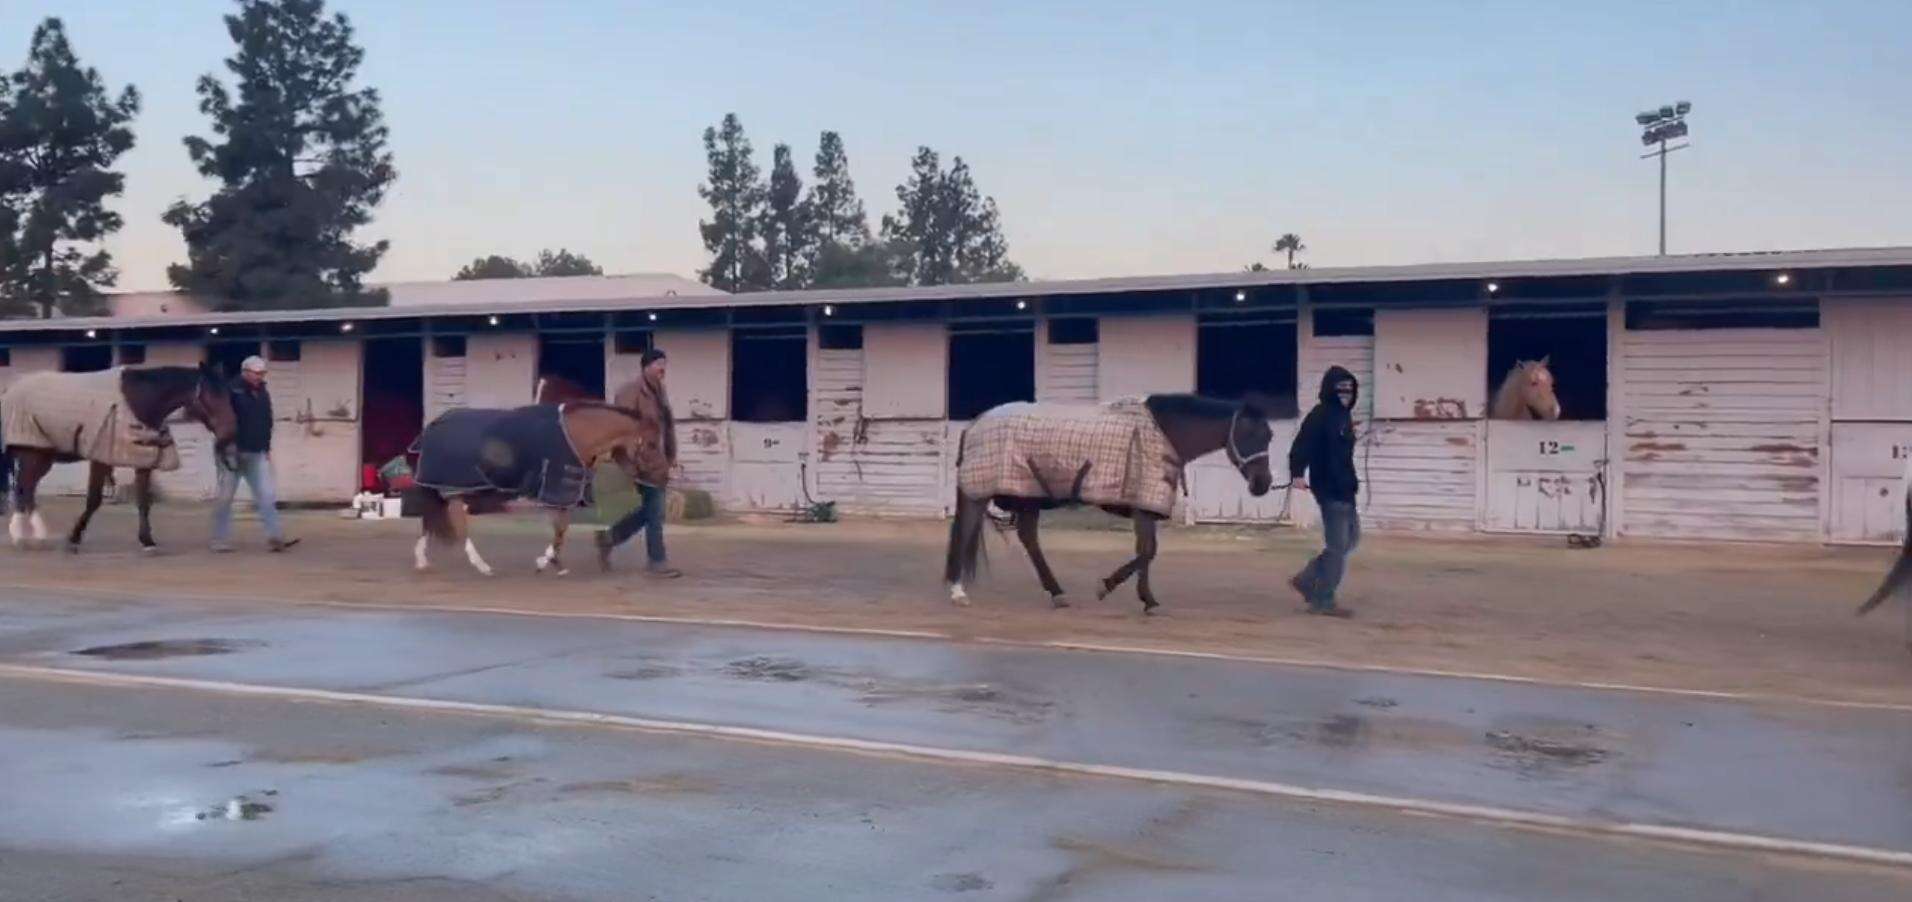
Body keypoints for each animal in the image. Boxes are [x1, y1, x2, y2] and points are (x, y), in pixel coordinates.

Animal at [0, 363, 237, 554]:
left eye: (227, 395)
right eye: (211, 396)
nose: (230, 433)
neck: (138, 399)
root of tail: (14, 388)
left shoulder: (143, 460)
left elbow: (143, 501)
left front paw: (148, 541)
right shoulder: (101, 458)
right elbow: (93, 500)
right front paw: (73, 539)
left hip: (43, 457)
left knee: (27, 490)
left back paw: (36, 535)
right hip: (31, 454)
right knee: (23, 489)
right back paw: (21, 536)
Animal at [411, 401, 657, 577]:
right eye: (652, 444)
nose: (659, 478)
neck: (573, 435)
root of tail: (433, 425)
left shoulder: (563, 495)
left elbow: (561, 531)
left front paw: (554, 563)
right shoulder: (555, 492)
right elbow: (560, 529)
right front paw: (546, 562)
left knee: (431, 520)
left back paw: (423, 561)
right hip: (454, 491)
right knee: (457, 525)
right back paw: (482, 566)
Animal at [936, 393, 1269, 611]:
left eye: (1269, 436)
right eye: (1250, 433)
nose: (1263, 484)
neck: (1161, 433)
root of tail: (976, 423)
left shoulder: (1145, 506)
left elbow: (1146, 551)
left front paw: (1147, 599)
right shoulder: (1142, 506)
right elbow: (1147, 551)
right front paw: (1107, 587)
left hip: (1027, 495)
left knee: (1028, 539)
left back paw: (1057, 592)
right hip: (979, 492)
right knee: (966, 531)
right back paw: (957, 591)